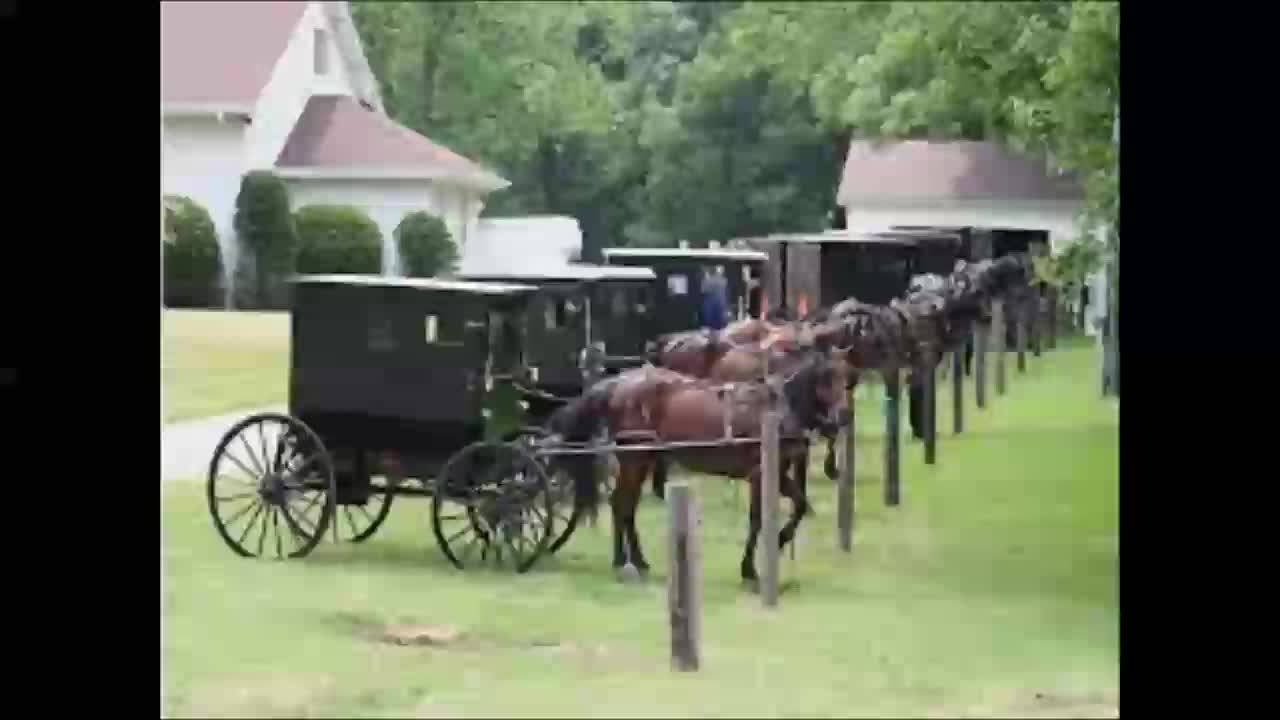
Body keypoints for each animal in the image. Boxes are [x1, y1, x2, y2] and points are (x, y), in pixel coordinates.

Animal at [547, 348, 855, 584]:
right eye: (826, 377)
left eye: (847, 378)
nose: (844, 415)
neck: (777, 409)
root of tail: (617, 384)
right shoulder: (760, 474)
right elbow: (756, 520)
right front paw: (750, 568)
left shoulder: (778, 472)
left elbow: (800, 505)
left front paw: (779, 539)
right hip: (636, 458)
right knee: (622, 503)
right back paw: (625, 561)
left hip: (643, 458)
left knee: (624, 505)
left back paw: (633, 560)